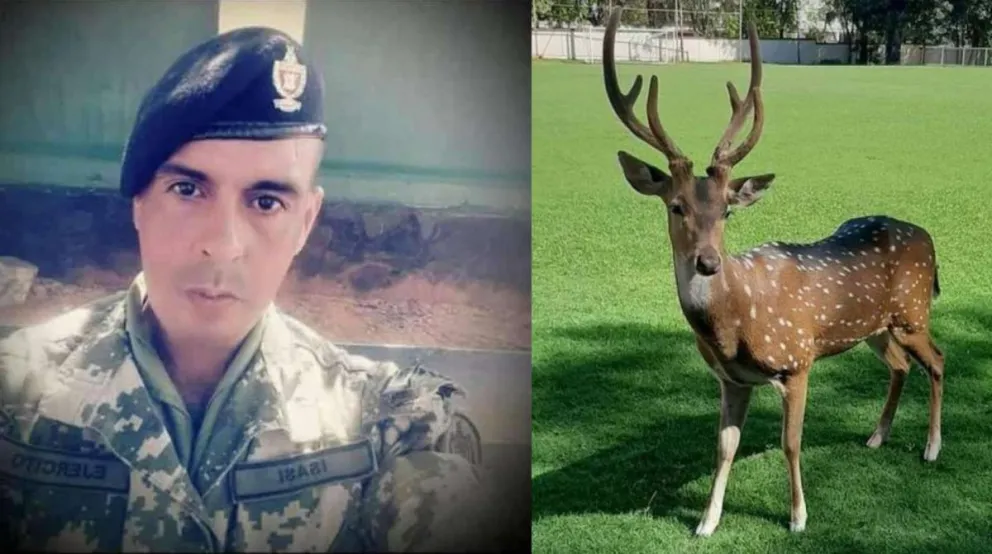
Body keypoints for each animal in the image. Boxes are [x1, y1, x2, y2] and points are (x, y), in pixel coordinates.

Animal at [601, 8, 945, 537]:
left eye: (726, 211)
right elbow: (724, 447)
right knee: (901, 365)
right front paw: (706, 522)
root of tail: (928, 237)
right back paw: (876, 437)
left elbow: (790, 442)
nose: (708, 261)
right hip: (874, 328)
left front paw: (799, 517)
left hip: (912, 313)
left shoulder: (797, 359)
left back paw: (931, 448)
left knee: (939, 360)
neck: (734, 323)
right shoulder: (732, 379)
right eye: (677, 206)